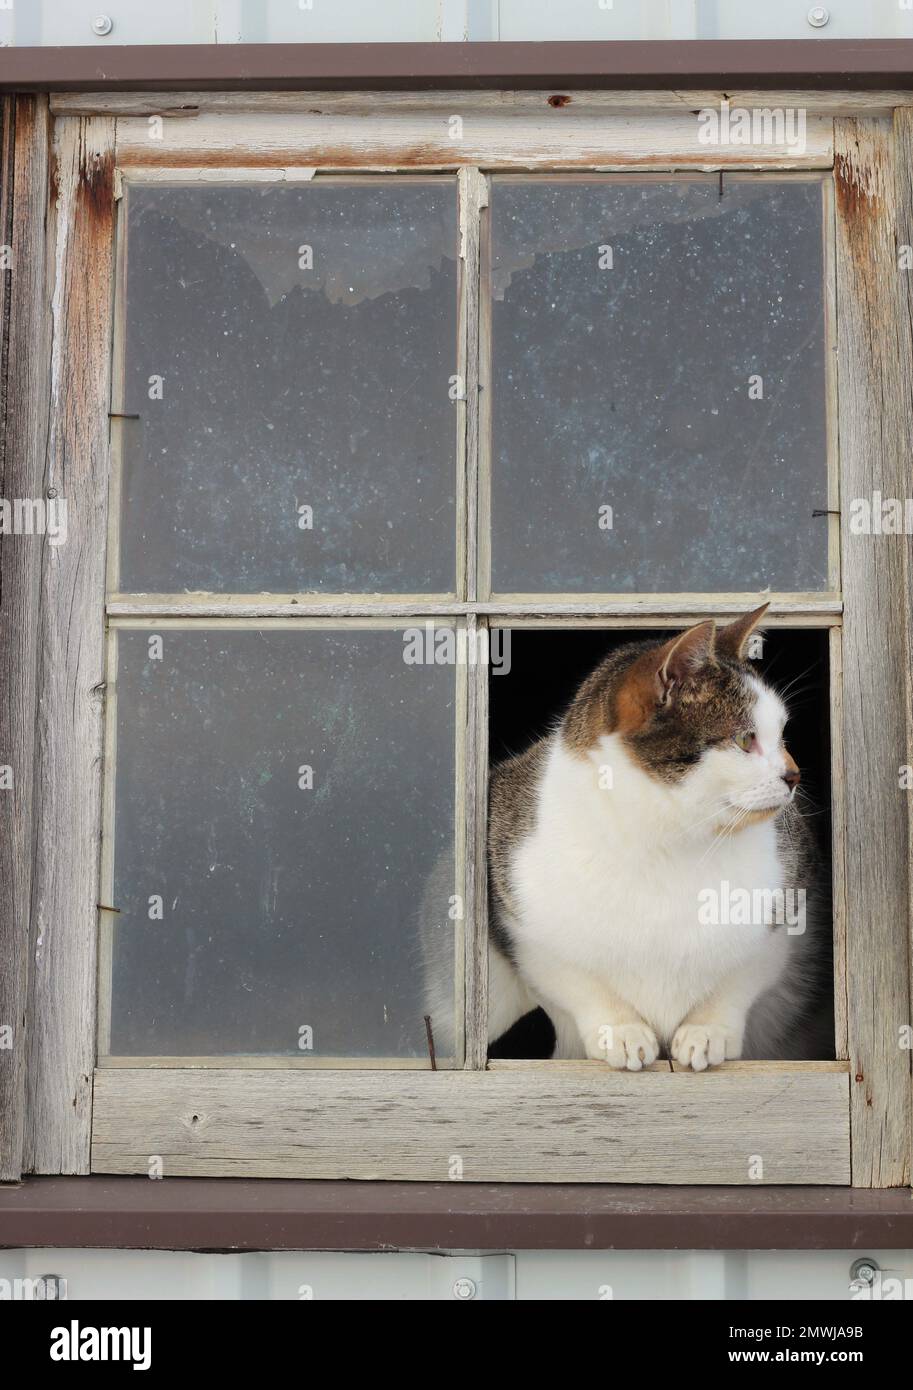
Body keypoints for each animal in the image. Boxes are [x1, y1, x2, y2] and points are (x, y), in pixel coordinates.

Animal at [422, 603, 828, 1067]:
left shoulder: (789, 907)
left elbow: (740, 977)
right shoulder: (523, 923)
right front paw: (619, 1029)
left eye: (782, 734)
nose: (794, 776)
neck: (669, 842)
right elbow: (577, 979)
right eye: (746, 740)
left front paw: (707, 1029)